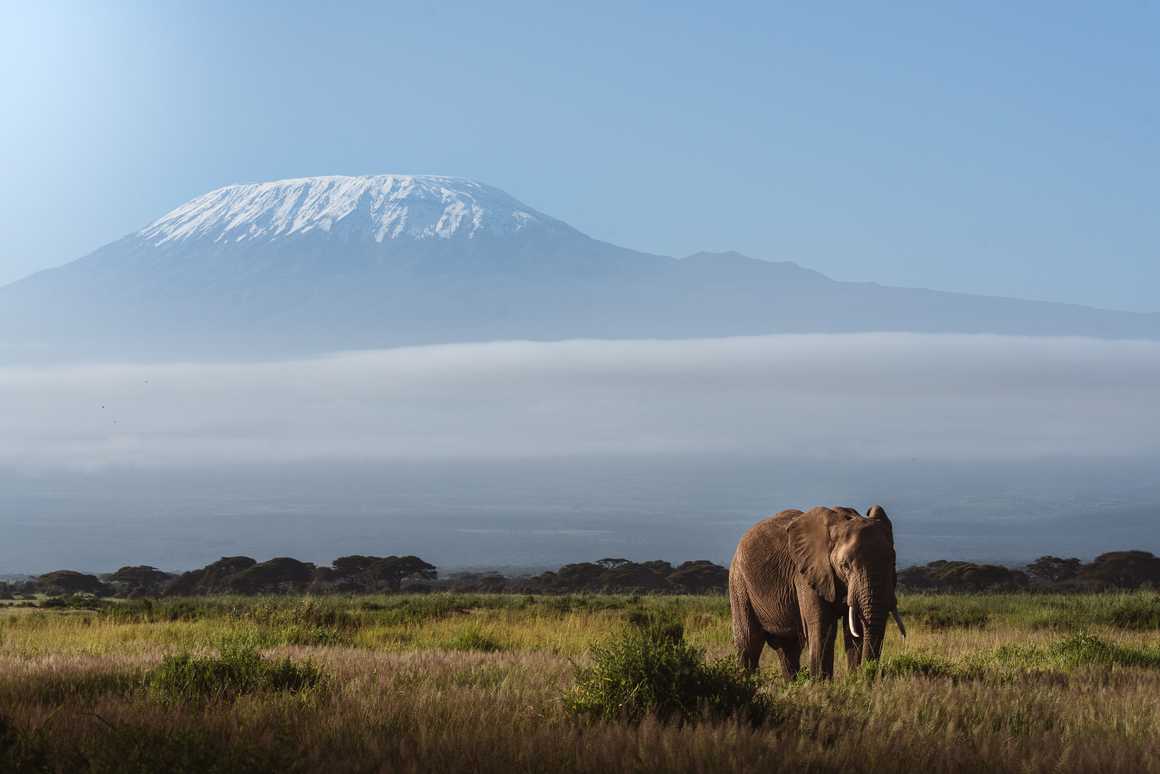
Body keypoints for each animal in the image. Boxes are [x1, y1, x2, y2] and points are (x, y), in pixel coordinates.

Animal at [723, 503, 904, 677]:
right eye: (845, 565)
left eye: (893, 562)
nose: (867, 675)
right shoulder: (807, 575)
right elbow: (822, 628)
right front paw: (822, 685)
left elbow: (856, 629)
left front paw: (854, 681)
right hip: (739, 582)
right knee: (749, 643)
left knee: (789, 649)